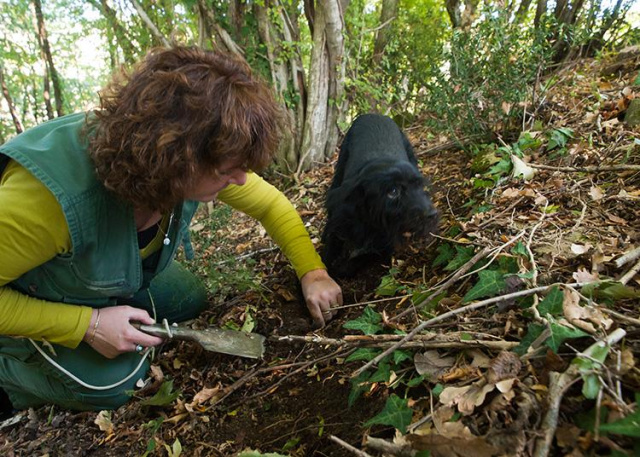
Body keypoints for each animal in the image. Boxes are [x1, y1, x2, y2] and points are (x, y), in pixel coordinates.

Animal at [322, 115, 438, 278]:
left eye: (418, 185)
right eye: (393, 191)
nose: (432, 214)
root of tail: (374, 114)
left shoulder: (386, 242)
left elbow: (364, 257)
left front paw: (342, 268)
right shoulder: (339, 219)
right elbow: (328, 252)